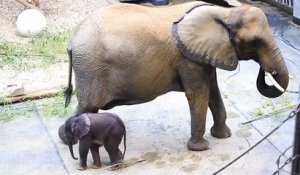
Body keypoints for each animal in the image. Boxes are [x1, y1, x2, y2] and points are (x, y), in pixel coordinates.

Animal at [61, 1, 288, 151]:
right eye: (255, 43)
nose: (270, 76)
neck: (226, 13)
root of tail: (71, 41)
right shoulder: (187, 58)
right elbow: (199, 93)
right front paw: (200, 148)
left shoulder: (203, 54)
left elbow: (213, 90)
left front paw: (223, 136)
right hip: (91, 69)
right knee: (87, 106)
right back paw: (70, 139)